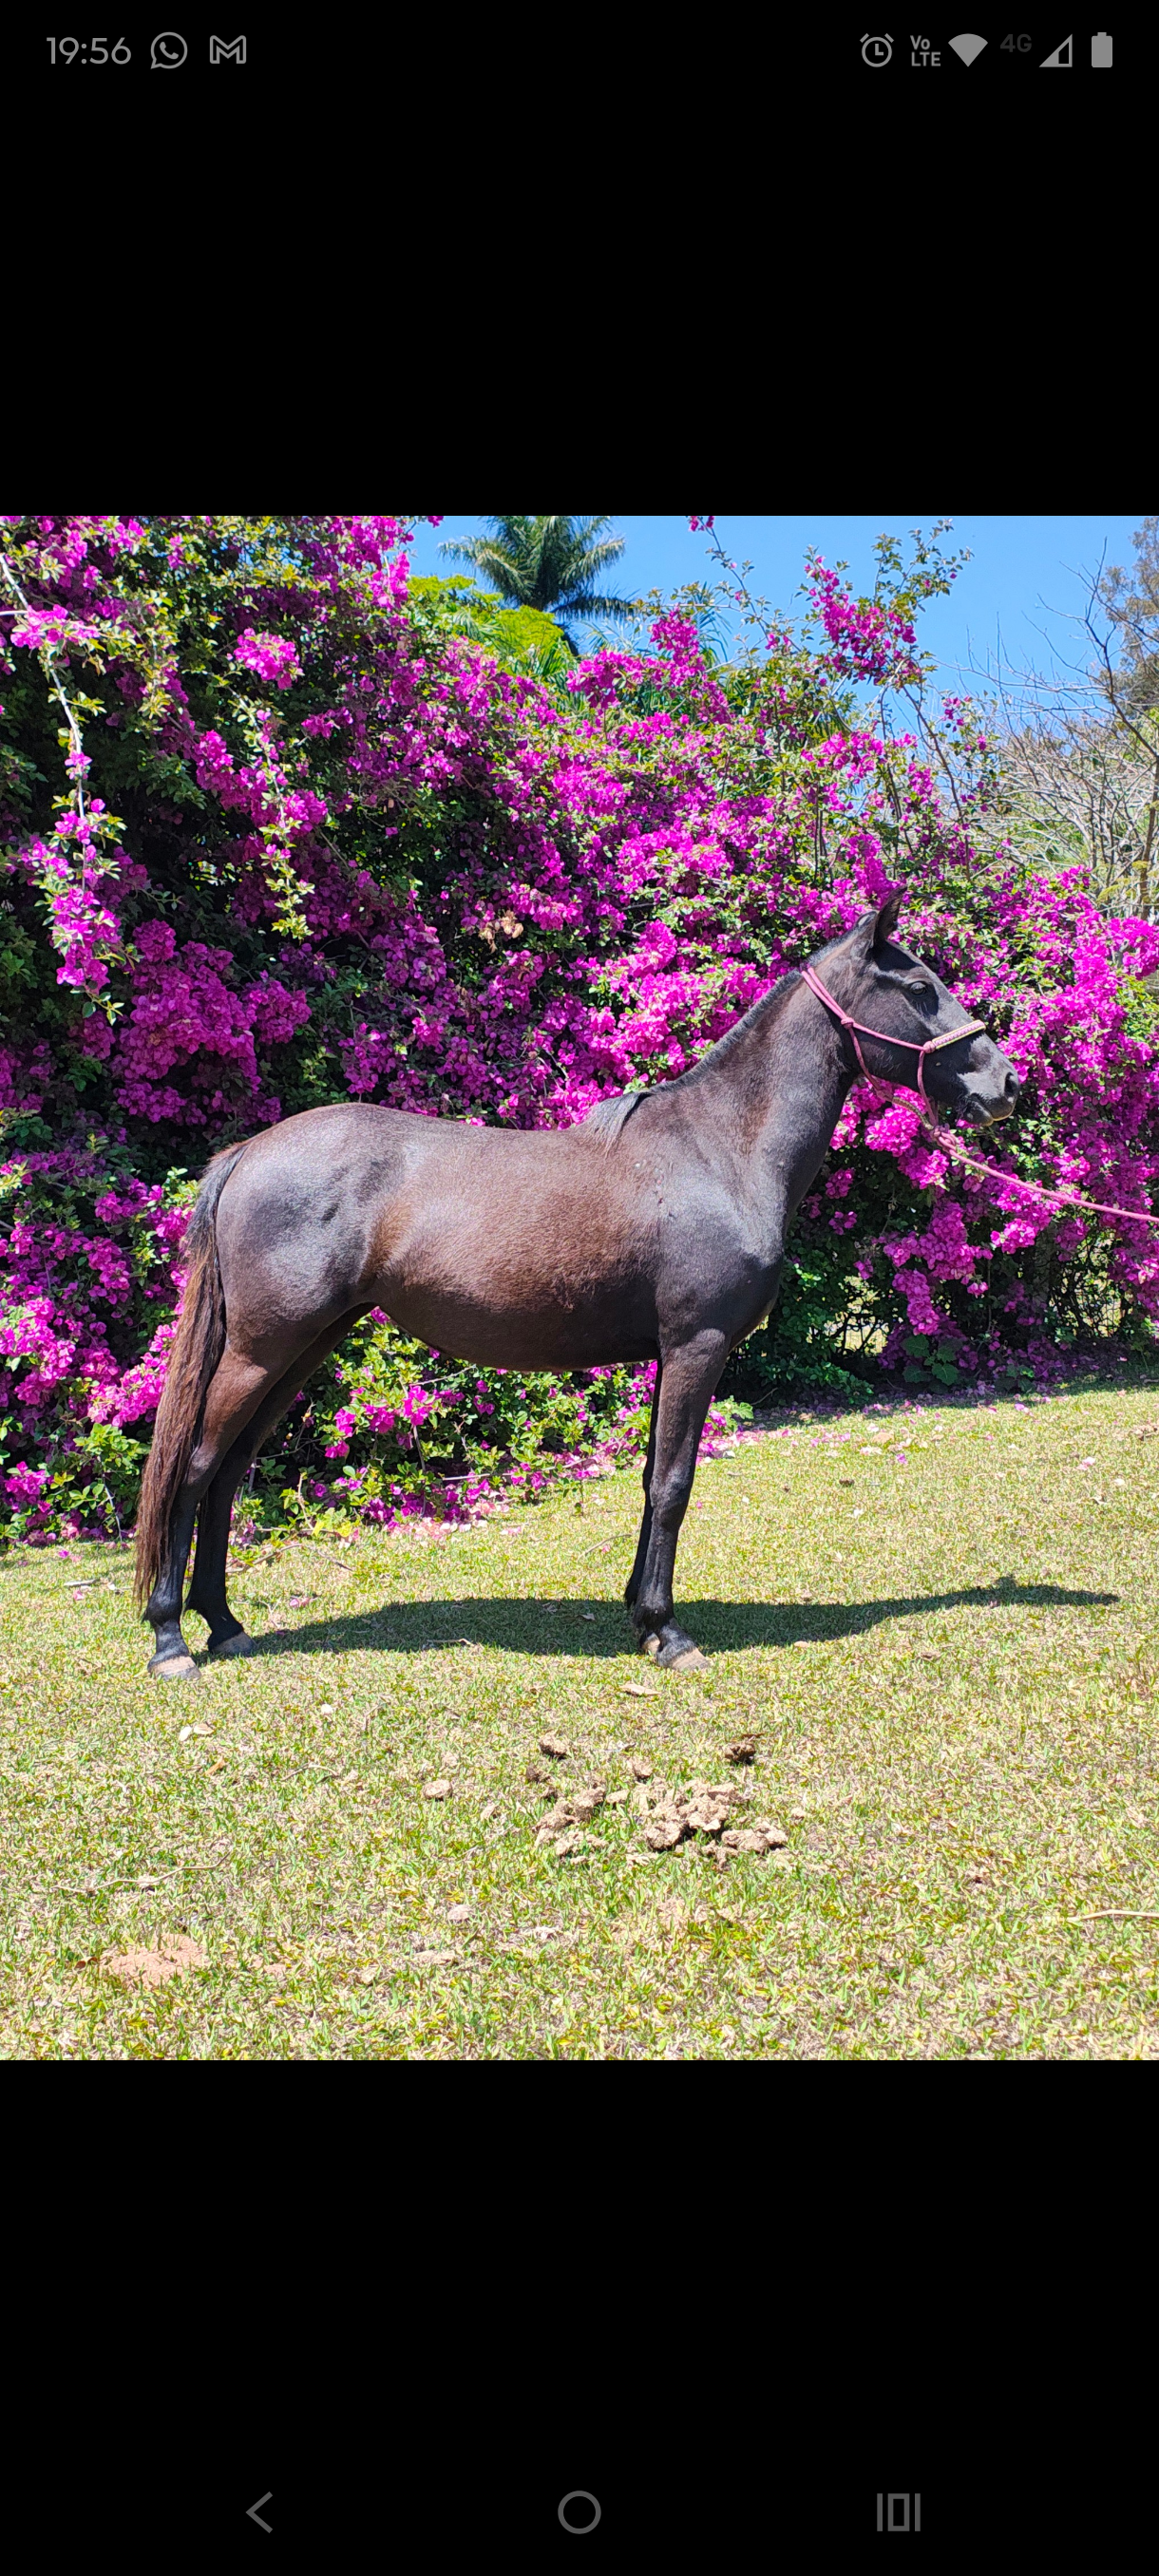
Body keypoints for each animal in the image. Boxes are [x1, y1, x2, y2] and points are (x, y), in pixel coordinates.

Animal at [133, 891, 1019, 1678]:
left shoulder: (669, 1353)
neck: (720, 1150)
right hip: (262, 1349)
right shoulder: (697, 1346)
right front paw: (669, 1633)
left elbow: (652, 1480)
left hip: (302, 1349)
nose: (1002, 1085)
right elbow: (674, 1483)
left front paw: (641, 1616)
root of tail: (249, 1153)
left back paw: (225, 1624)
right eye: (919, 987)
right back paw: (173, 1640)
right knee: (197, 1467)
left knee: (229, 1472)